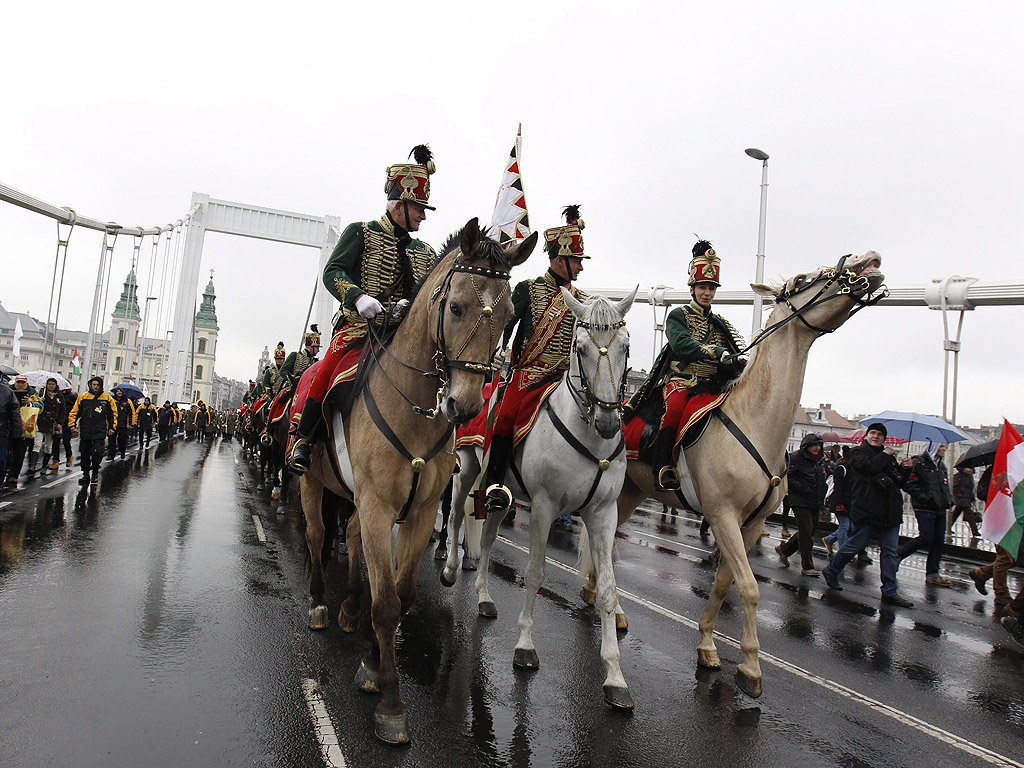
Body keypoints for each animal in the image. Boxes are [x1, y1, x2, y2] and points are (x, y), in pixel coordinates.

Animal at [299, 218, 540, 745]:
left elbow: (402, 594)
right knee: (316, 534)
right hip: (312, 485)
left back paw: (349, 609)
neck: (414, 410)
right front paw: (390, 705)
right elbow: (387, 603)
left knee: (348, 537)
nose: (464, 406)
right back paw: (321, 605)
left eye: (509, 314)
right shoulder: (377, 506)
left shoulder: (420, 509)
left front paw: (372, 664)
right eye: (456, 306)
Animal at [442, 286, 638, 708]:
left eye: (626, 345)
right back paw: (449, 568)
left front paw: (615, 677)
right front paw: (525, 646)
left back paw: (483, 597)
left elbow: (609, 588)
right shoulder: (544, 508)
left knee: (487, 536)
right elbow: (535, 572)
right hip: (465, 470)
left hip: (502, 496)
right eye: (580, 347)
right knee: (454, 516)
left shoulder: (603, 514)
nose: (608, 421)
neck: (592, 440)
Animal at [593, 249, 888, 700]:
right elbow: (749, 587)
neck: (755, 422)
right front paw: (750, 667)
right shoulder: (723, 516)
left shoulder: (751, 523)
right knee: (604, 545)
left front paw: (708, 646)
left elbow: (724, 583)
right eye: (802, 279)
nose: (866, 259)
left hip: (633, 493)